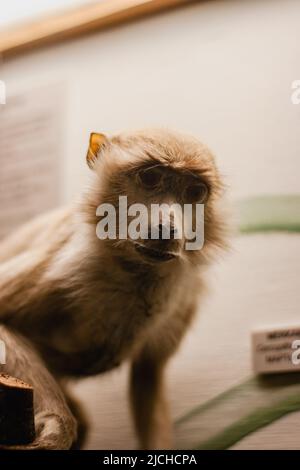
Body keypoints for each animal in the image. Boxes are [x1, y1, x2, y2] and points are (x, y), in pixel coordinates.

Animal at [0, 126, 226, 450]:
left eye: (195, 193)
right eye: (150, 178)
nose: (167, 226)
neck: (136, 272)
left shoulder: (185, 297)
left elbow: (148, 376)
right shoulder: (70, 263)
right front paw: (57, 424)